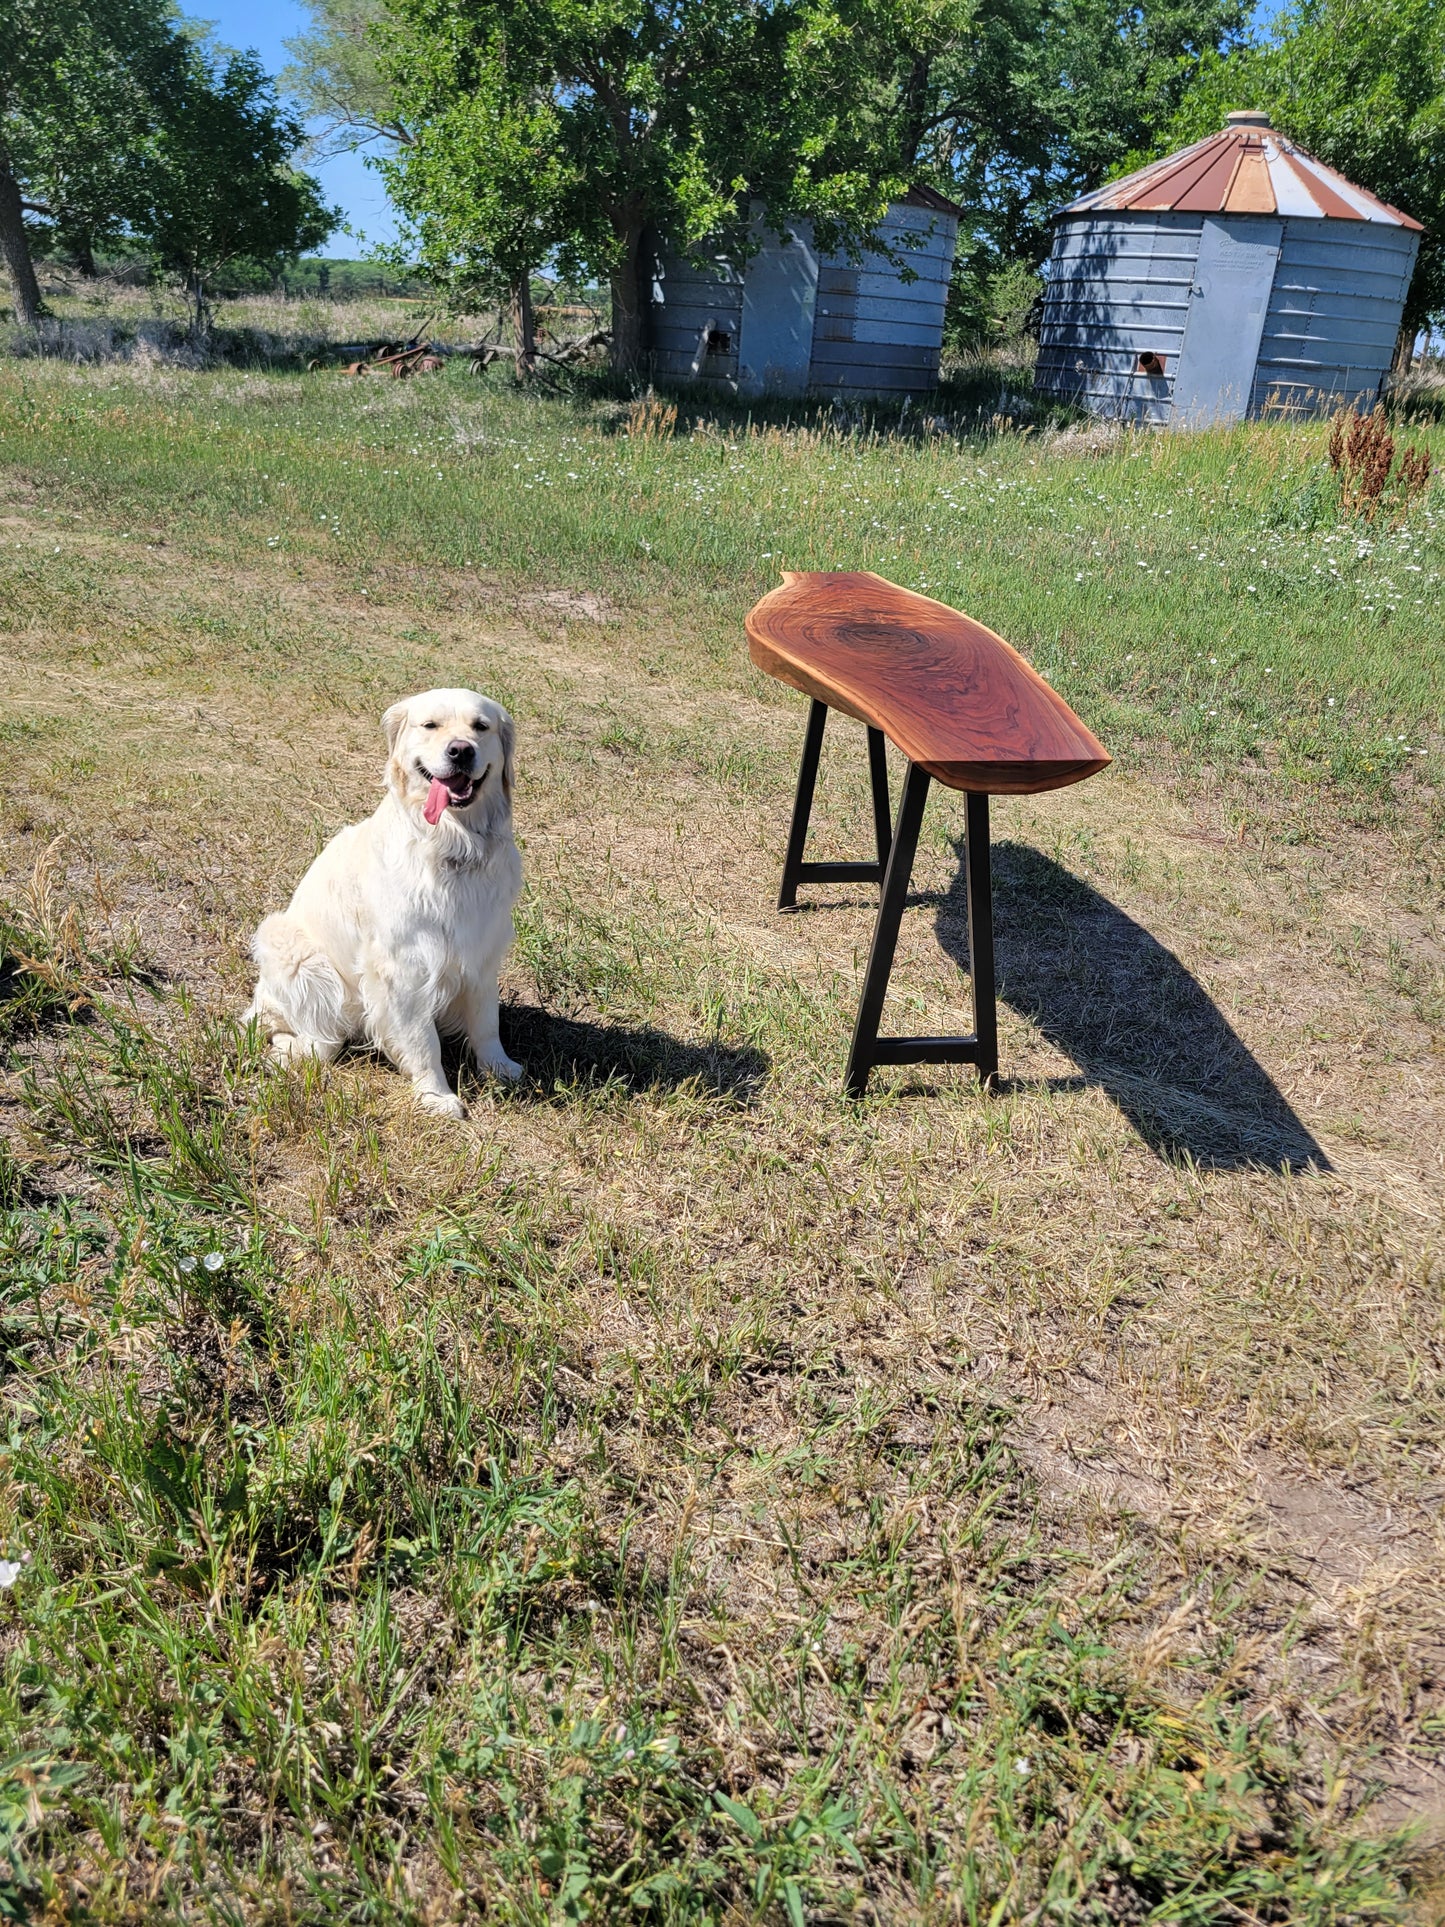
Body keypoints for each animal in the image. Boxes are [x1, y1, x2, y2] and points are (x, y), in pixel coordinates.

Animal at [244, 689, 527, 1117]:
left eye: (481, 726)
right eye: (430, 725)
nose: (461, 750)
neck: (453, 845)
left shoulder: (481, 953)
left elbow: (486, 1021)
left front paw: (498, 1066)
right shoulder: (405, 967)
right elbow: (424, 1041)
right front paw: (435, 1095)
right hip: (291, 948)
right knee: (320, 1041)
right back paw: (285, 1047)